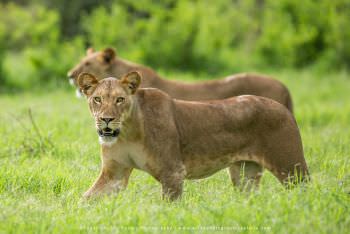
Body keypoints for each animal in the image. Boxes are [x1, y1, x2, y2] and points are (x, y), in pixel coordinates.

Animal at [78, 72, 308, 200]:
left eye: (120, 100)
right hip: (245, 174)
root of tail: (283, 106)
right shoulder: (114, 174)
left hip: (290, 167)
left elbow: (168, 210)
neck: (127, 131)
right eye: (97, 99)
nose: (106, 119)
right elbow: (86, 199)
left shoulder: (173, 172)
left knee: (305, 191)